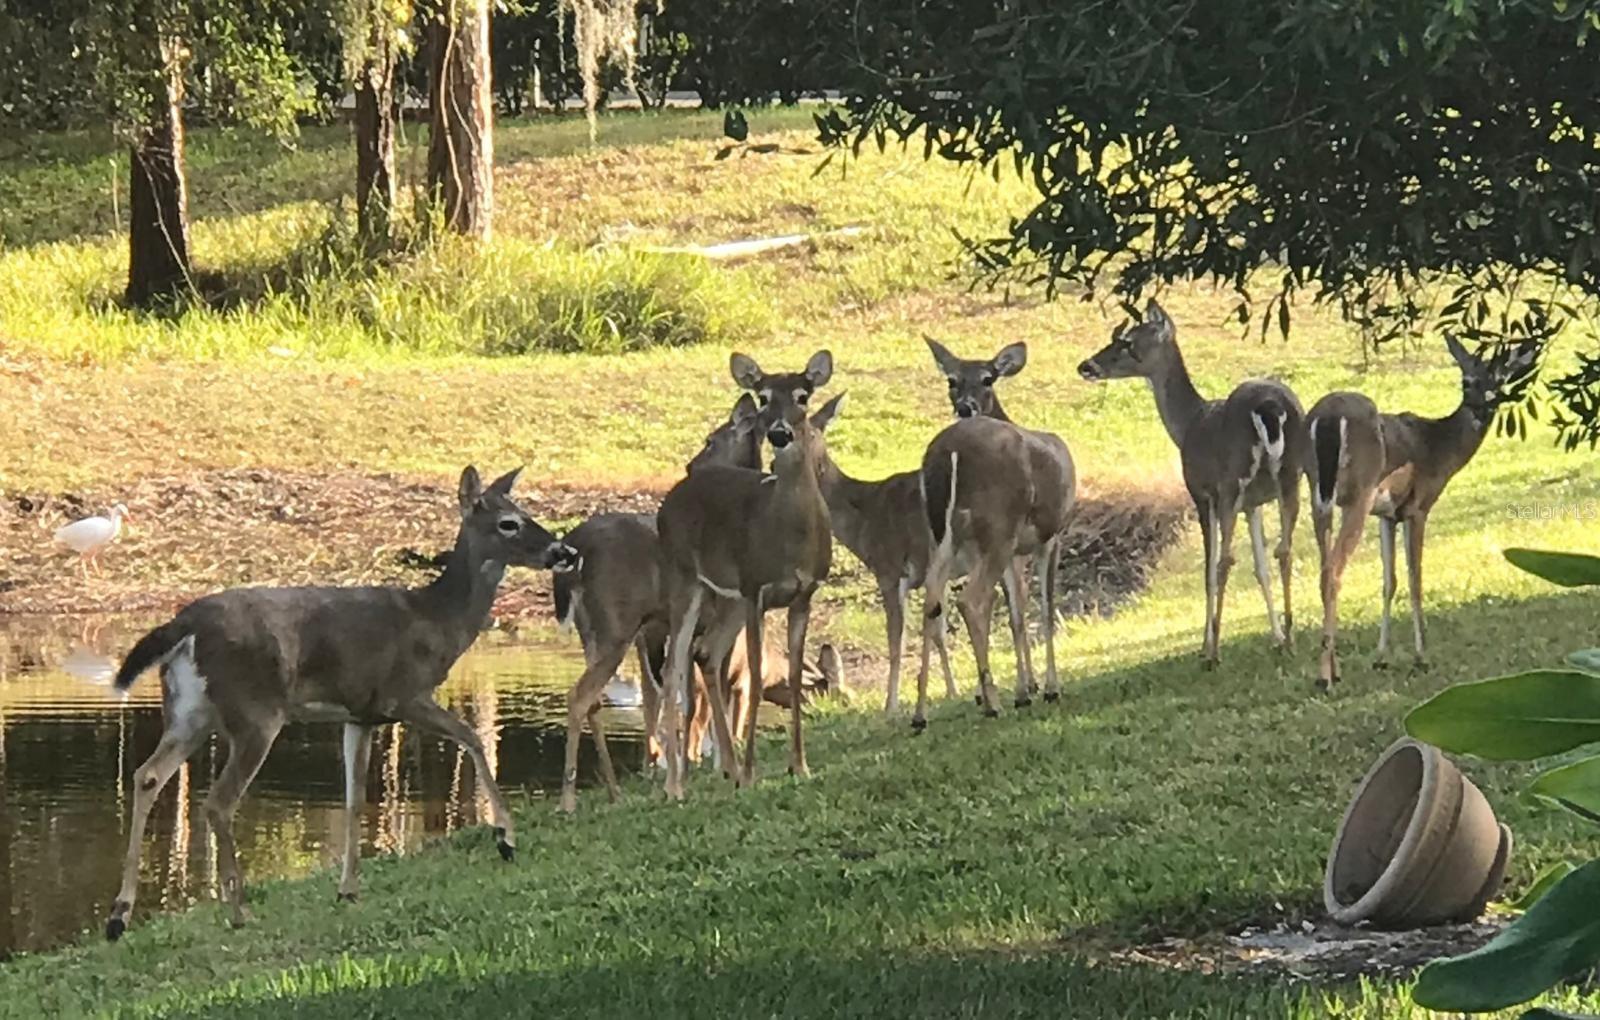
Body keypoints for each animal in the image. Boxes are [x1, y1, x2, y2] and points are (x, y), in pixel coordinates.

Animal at [103, 467, 572, 940]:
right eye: (509, 523)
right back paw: (238, 911)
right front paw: (506, 837)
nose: (563, 551)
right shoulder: (404, 693)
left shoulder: (359, 715)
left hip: (190, 712)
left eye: (525, 512)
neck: (439, 621)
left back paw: (118, 916)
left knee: (147, 775)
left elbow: (353, 797)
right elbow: (471, 736)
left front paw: (348, 889)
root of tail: (184, 624)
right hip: (255, 713)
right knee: (217, 801)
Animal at [655, 350, 834, 798]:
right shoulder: (757, 590)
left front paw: (799, 766)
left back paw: (724, 770)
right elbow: (754, 676)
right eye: (764, 396)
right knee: (674, 666)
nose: (779, 433)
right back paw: (675, 784)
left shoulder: (803, 594)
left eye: (803, 395)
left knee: (706, 653)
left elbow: (793, 673)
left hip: (728, 598)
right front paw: (753, 773)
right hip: (684, 578)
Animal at [924, 337, 1077, 710]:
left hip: (947, 536)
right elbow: (1044, 608)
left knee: (932, 602)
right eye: (952, 380)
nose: (965, 407)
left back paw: (924, 712)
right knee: (970, 599)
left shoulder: (1015, 551)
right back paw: (992, 700)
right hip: (996, 529)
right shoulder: (1051, 536)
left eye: (987, 378)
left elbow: (1017, 613)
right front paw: (1048, 687)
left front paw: (1026, 688)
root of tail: (949, 453)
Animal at [1078, 299, 1305, 668]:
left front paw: (1205, 644)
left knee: (1224, 562)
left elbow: (1209, 570)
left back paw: (1214, 654)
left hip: (1231, 480)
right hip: (1291, 476)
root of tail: (1269, 407)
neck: (1186, 425)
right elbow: (1260, 567)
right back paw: (1290, 639)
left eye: (1127, 342)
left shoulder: (1202, 494)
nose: (1086, 366)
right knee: (1283, 550)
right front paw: (1276, 636)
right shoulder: (1253, 503)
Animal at [1305, 335, 1540, 686]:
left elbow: (1389, 582)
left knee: (1324, 569)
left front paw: (1381, 658)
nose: (1481, 410)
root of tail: (1328, 420)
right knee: (1333, 570)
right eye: (1467, 380)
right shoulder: (1418, 507)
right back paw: (1325, 678)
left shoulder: (1388, 514)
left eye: (1499, 381)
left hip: (1317, 495)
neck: (1439, 447)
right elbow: (1416, 580)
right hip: (1357, 494)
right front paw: (1421, 657)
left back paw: (1334, 669)